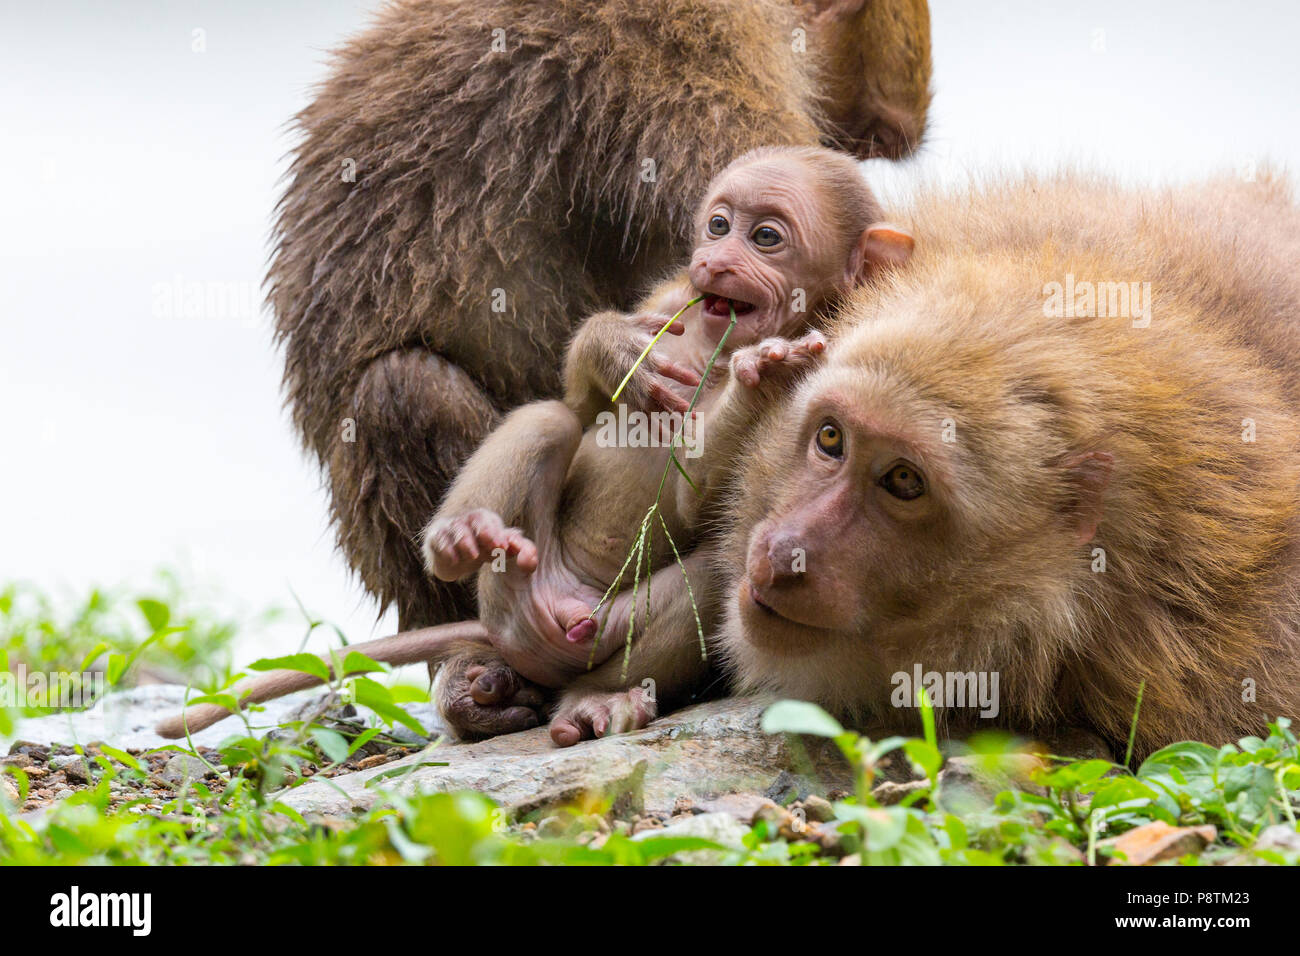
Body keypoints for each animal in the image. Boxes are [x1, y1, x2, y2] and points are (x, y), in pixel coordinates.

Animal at [157, 147, 909, 749]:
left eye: (766, 236)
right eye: (719, 224)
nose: (714, 260)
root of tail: (543, 618)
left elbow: (701, 499)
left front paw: (762, 374)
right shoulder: (673, 303)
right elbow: (584, 405)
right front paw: (610, 347)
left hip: (590, 631)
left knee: (708, 576)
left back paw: (592, 700)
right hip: (510, 584)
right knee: (546, 421)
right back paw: (457, 538)